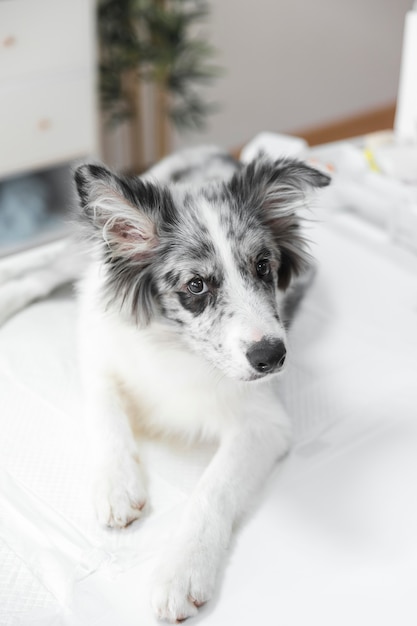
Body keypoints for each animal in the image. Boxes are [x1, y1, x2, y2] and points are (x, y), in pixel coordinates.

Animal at [73, 146, 330, 620]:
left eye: (263, 266)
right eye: (196, 285)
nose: (273, 357)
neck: (180, 349)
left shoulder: (263, 422)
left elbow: (214, 488)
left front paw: (182, 569)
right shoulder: (97, 345)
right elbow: (105, 412)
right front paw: (116, 486)